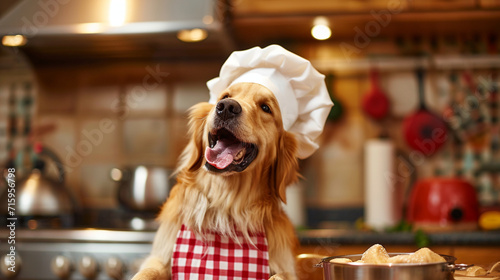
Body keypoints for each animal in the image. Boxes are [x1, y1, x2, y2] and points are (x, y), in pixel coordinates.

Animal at [131, 81, 298, 280]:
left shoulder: (285, 266)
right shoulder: (161, 257)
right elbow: (147, 271)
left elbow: (281, 275)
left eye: (266, 107)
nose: (226, 107)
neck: (224, 203)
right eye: (225, 97)